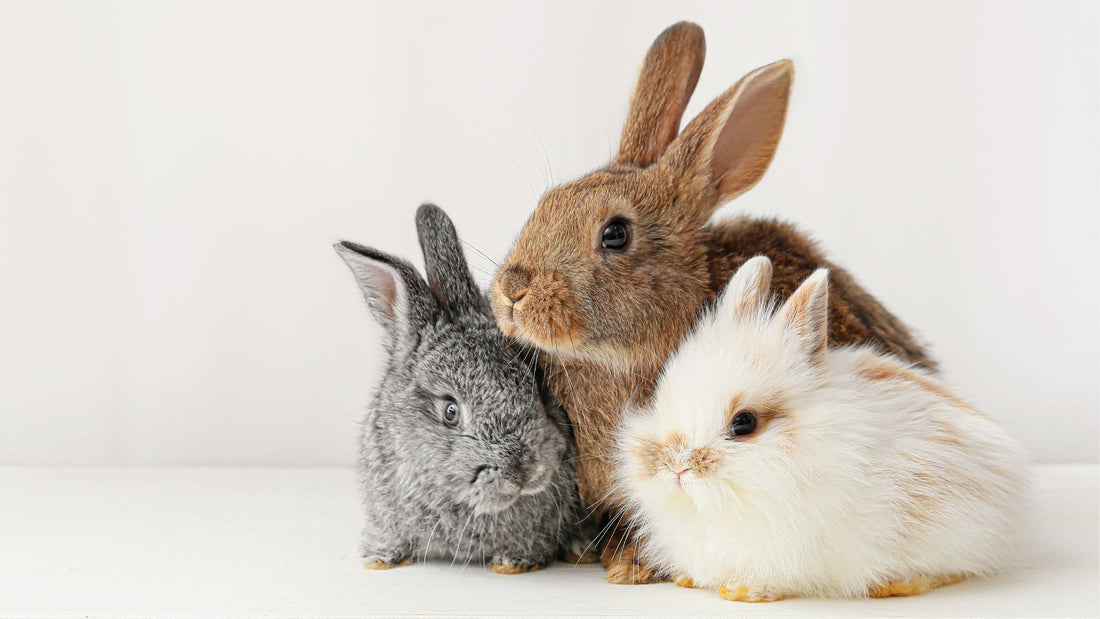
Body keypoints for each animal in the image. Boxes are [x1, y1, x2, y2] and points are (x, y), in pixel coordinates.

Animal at [615, 256, 1027, 601]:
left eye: (744, 423)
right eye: (662, 397)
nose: (676, 467)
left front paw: (745, 591)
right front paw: (687, 579)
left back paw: (897, 584)